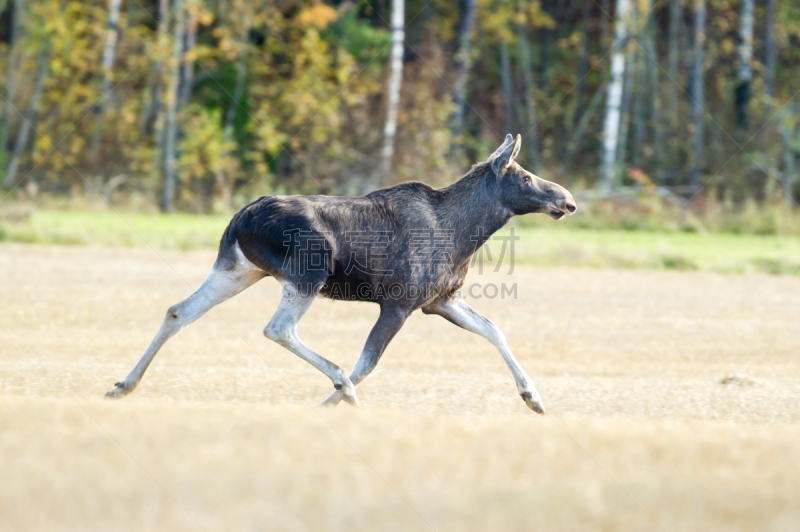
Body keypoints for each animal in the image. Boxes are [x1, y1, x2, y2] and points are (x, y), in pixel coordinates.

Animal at [109, 135, 580, 414]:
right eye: (524, 176)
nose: (568, 199)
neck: (464, 234)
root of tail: (240, 217)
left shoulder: (440, 300)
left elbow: (494, 330)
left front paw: (533, 397)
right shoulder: (399, 302)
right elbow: (367, 362)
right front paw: (333, 400)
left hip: (239, 268)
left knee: (178, 311)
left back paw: (123, 384)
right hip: (307, 271)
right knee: (278, 328)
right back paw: (340, 384)